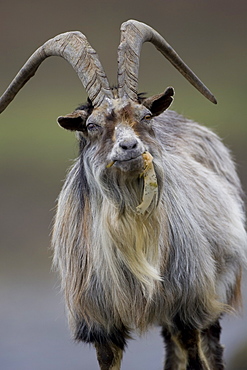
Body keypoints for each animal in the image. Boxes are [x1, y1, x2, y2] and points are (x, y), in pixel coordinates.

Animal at [0, 19, 247, 370]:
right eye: (91, 125)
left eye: (144, 116)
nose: (130, 146)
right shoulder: (101, 324)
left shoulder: (188, 305)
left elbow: (196, 356)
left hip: (214, 293)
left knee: (208, 348)